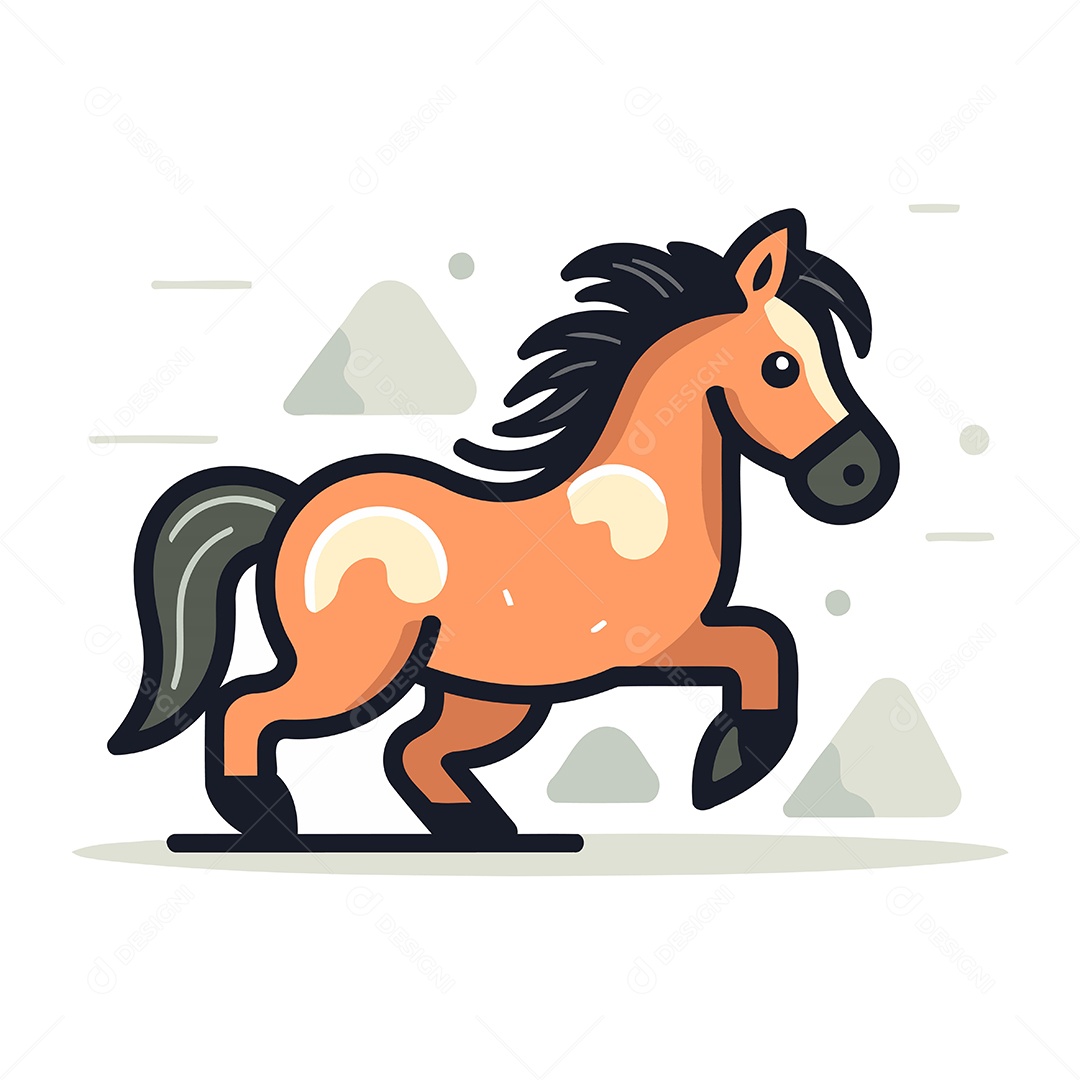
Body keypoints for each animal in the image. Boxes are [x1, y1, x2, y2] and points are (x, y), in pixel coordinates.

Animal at [108, 208, 899, 851]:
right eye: (781, 366)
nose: (861, 474)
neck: (642, 500)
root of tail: (289, 509)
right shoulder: (657, 645)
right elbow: (761, 647)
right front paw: (728, 768)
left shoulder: (677, 639)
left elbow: (763, 643)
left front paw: (726, 763)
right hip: (357, 670)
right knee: (249, 708)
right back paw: (268, 819)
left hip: (487, 696)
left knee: (413, 751)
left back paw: (492, 831)